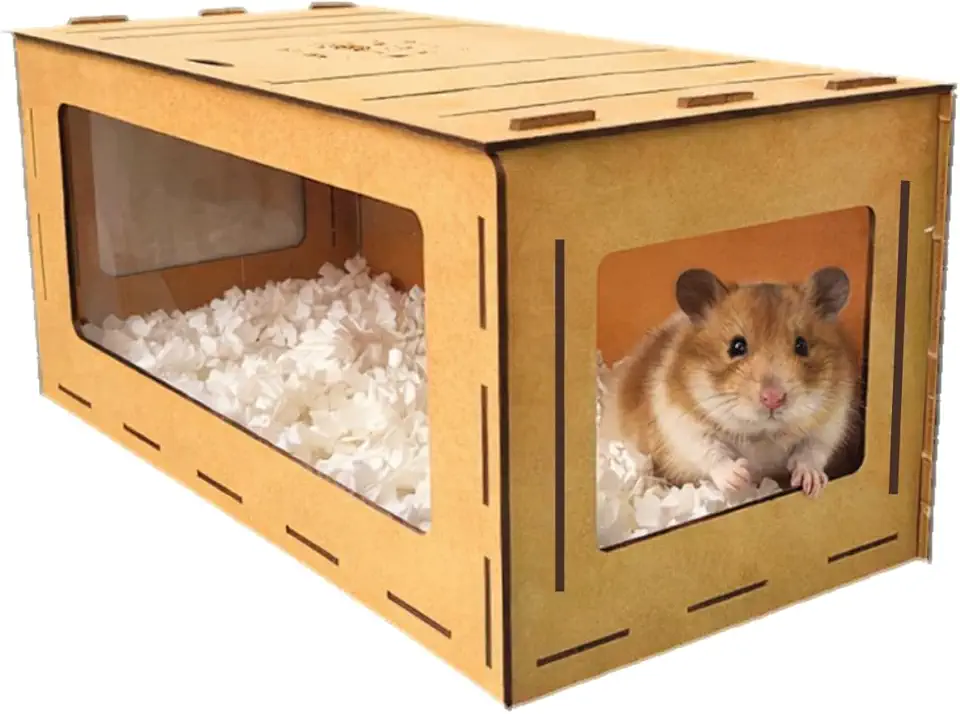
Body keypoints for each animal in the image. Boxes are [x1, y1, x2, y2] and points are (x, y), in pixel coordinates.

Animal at [610, 266, 858, 498]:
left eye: (802, 345)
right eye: (736, 346)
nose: (773, 399)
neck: (762, 433)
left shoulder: (831, 423)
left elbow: (812, 452)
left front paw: (812, 484)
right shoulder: (681, 423)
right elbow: (711, 452)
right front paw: (741, 477)